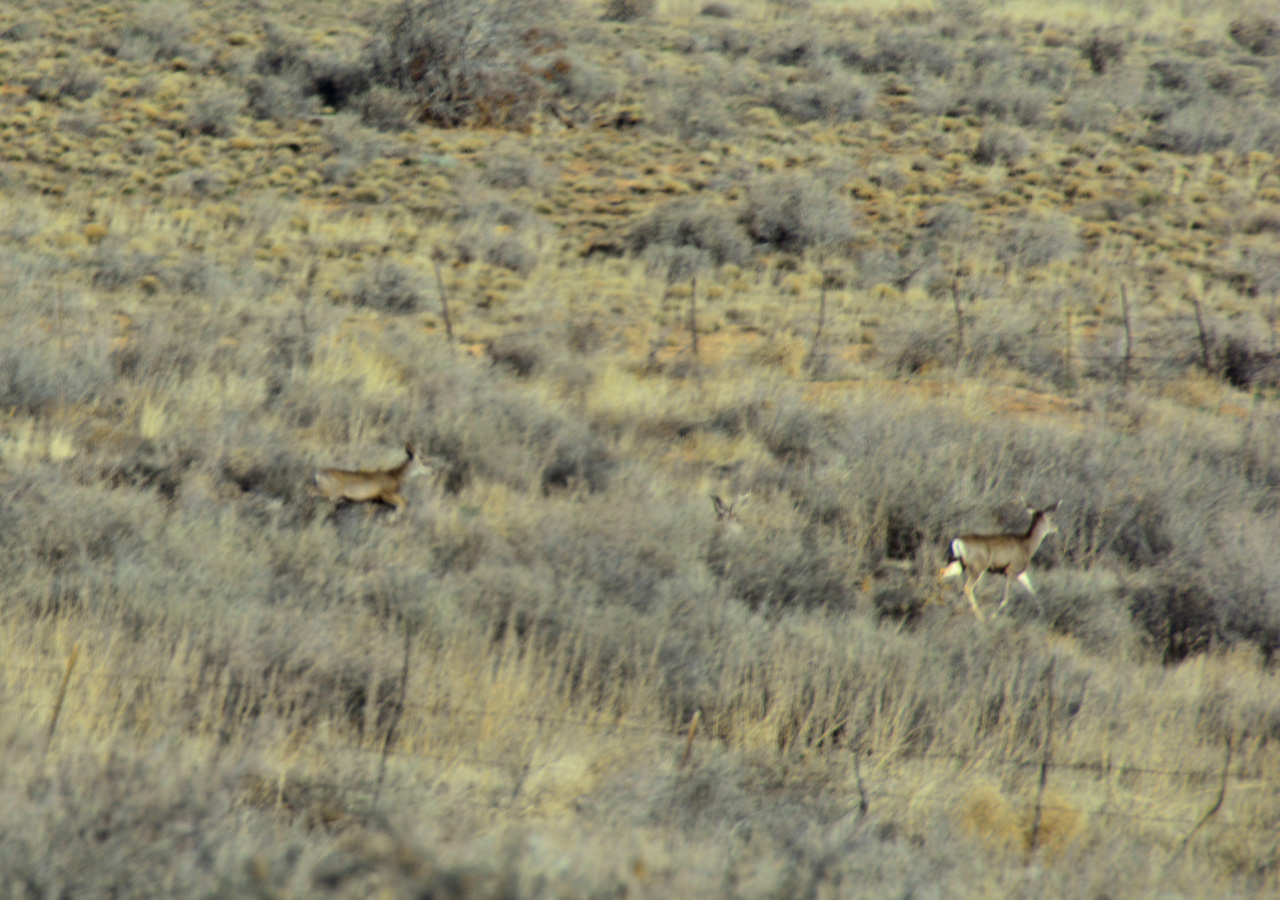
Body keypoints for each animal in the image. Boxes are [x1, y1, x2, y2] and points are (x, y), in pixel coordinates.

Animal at [936, 499, 1064, 619]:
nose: (1056, 528)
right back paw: (982, 618)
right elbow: (1006, 598)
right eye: (1051, 517)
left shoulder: (1020, 572)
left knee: (942, 572)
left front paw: (1042, 612)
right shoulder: (1011, 570)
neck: (1027, 546)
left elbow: (1033, 591)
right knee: (967, 587)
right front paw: (993, 616)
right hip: (977, 567)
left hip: (958, 563)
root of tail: (957, 541)